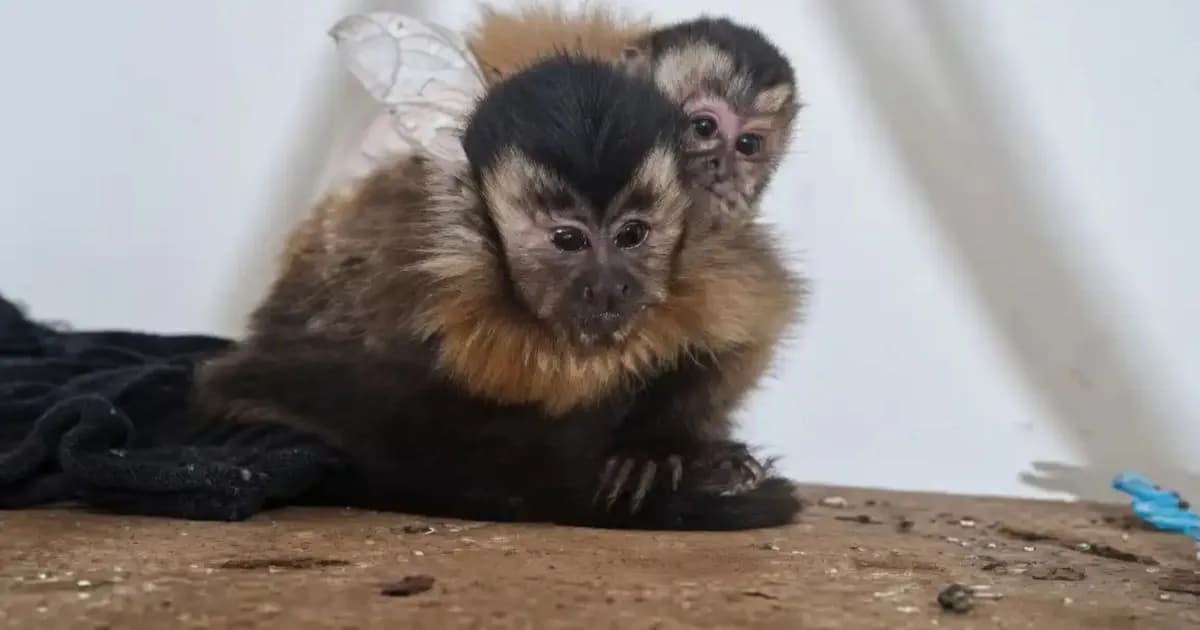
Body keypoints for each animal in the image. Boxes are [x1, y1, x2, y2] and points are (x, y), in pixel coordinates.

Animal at [193, 54, 806, 530]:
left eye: (632, 235)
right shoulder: (414, 283)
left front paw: (660, 446)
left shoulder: (707, 262)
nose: (608, 287)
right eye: (568, 239)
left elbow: (742, 340)